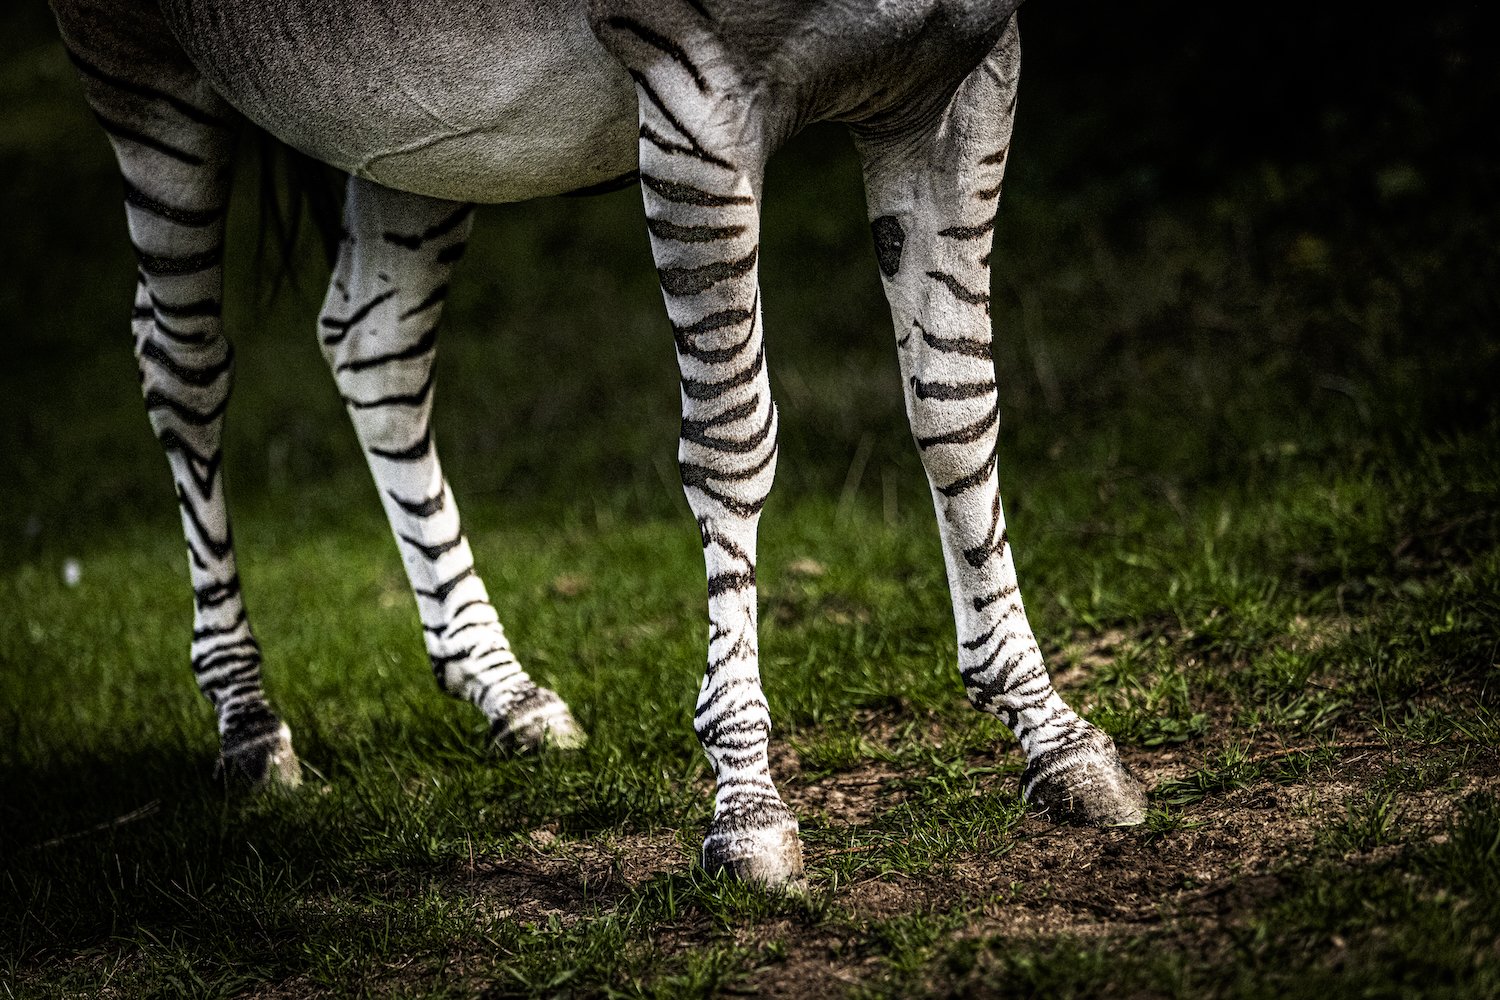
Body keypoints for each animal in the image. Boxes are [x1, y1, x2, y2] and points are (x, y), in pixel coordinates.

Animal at [51, 0, 1148, 887]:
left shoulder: (963, 77)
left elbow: (957, 409)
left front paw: (1054, 735)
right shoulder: (695, 90)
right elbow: (733, 441)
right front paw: (748, 805)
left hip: (409, 121)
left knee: (372, 342)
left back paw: (499, 684)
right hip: (141, 67)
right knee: (181, 362)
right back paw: (247, 719)